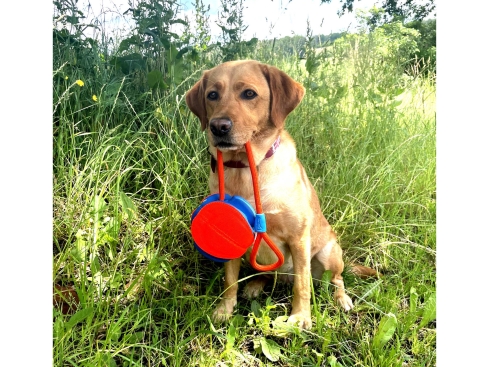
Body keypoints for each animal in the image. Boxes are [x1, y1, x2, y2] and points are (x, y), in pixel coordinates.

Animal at [185, 60, 376, 330]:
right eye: (212, 95)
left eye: (249, 93)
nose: (218, 126)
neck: (247, 168)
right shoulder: (233, 239)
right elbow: (229, 281)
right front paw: (225, 309)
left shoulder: (298, 238)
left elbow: (302, 284)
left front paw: (301, 316)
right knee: (267, 274)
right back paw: (255, 285)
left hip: (329, 253)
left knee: (336, 279)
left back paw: (342, 298)